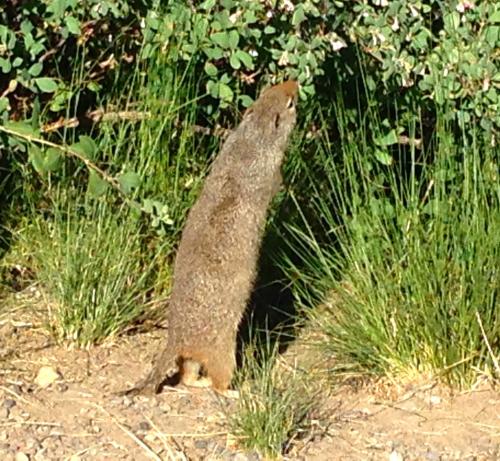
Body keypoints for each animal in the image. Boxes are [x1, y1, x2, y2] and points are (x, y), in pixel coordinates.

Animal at [126, 81, 296, 394]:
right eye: (290, 103)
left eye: (270, 89)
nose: (295, 83)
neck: (253, 137)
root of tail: (175, 339)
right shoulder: (269, 170)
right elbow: (276, 183)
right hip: (223, 350)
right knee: (218, 380)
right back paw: (234, 390)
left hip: (194, 358)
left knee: (187, 375)